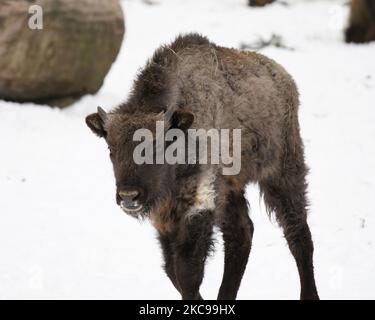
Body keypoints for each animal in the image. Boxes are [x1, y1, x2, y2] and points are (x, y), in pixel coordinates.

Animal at [86, 33, 320, 300]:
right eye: (110, 149)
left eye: (157, 147)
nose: (128, 196)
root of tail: (285, 78)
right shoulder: (166, 219)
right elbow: (172, 270)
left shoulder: (199, 204)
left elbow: (188, 273)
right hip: (231, 190)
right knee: (242, 234)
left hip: (283, 175)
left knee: (298, 235)